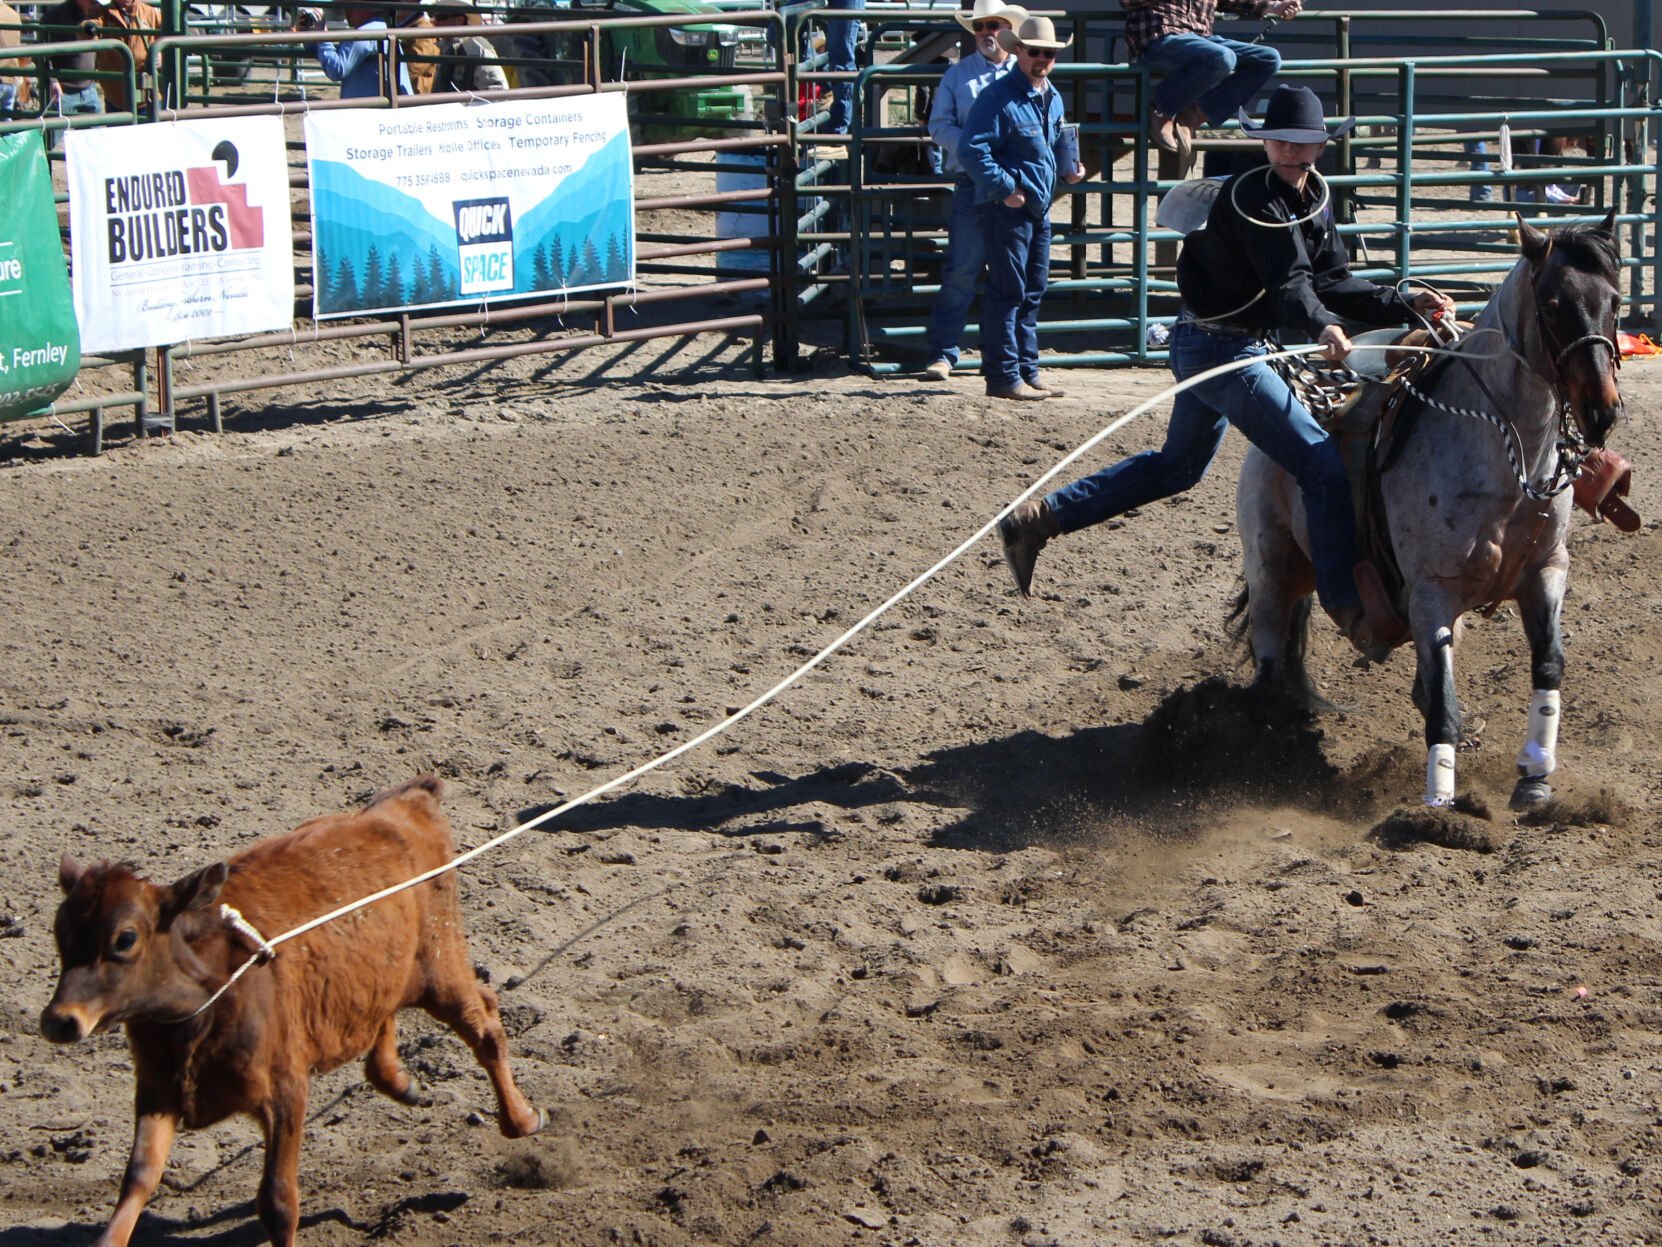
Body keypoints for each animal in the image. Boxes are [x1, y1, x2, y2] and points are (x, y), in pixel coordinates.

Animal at [40, 778, 538, 1243]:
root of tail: (409, 802)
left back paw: (523, 1119)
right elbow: (140, 1176)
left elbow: (278, 1202)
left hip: (440, 964)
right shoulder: (157, 1091)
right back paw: (402, 1082)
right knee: (392, 1019)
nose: (58, 1021)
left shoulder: (285, 1091)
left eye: (125, 938)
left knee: (485, 1024)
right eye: (60, 931)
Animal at [1236, 207, 1622, 811]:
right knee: (1271, 664)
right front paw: (1441, 806)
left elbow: (1548, 663)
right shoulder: (1431, 593)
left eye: (1616, 300)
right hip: (1272, 572)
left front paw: (1535, 777)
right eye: (1554, 303)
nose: (1601, 410)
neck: (1507, 460)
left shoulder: (1546, 571)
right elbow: (1443, 702)